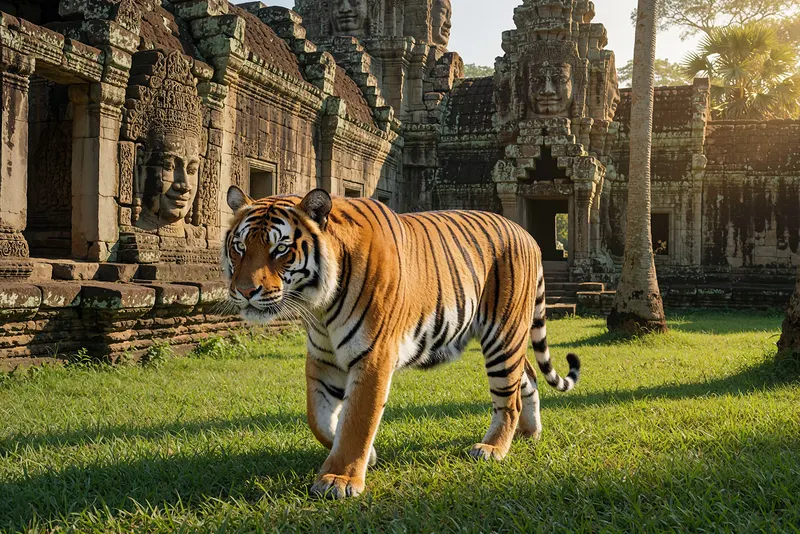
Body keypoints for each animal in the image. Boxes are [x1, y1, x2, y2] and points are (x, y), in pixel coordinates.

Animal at [223, 186, 581, 499]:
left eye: (280, 249)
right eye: (239, 247)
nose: (244, 291)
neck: (319, 307)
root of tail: (527, 235)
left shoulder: (373, 357)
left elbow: (358, 420)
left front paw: (339, 479)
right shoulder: (323, 360)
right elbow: (318, 419)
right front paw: (367, 456)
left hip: (503, 335)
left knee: (509, 398)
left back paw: (492, 448)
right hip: (507, 341)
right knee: (528, 377)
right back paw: (529, 433)